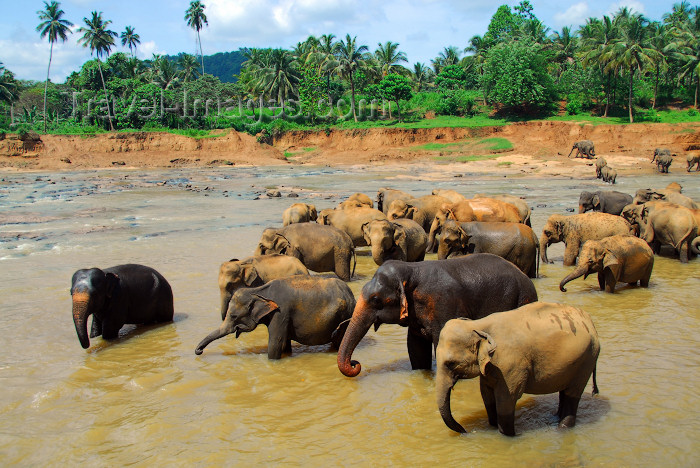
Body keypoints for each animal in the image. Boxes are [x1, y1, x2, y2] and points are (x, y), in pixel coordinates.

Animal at [194, 276, 356, 360]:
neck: (258, 291)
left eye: (233, 316)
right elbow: (285, 343)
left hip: (344, 315)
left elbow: (276, 343)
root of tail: (351, 295)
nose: (199, 351)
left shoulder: (281, 313)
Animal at [336, 254, 540, 378]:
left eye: (376, 300)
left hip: (523, 299)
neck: (411, 270)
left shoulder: (445, 305)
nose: (355, 364)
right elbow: (416, 349)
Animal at [434, 302, 600, 436]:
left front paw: (510, 435)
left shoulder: (511, 365)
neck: (478, 325)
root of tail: (591, 323)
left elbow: (506, 399)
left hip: (587, 359)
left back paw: (562, 428)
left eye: (451, 363)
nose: (465, 430)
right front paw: (492, 426)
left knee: (573, 394)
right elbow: (486, 394)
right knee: (564, 392)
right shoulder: (491, 367)